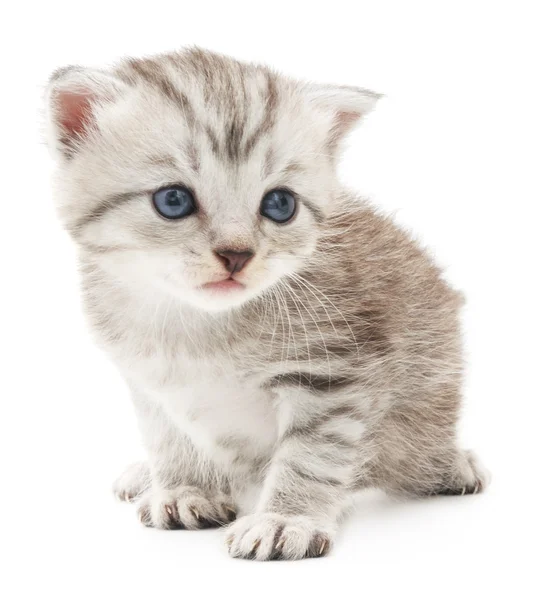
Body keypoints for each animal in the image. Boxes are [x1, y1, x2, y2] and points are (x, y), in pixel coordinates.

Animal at [45, 48, 490, 564]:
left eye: (280, 204)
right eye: (173, 200)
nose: (237, 254)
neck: (197, 328)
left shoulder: (336, 373)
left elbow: (311, 455)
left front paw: (285, 519)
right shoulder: (150, 382)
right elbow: (169, 437)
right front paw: (184, 489)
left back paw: (453, 464)